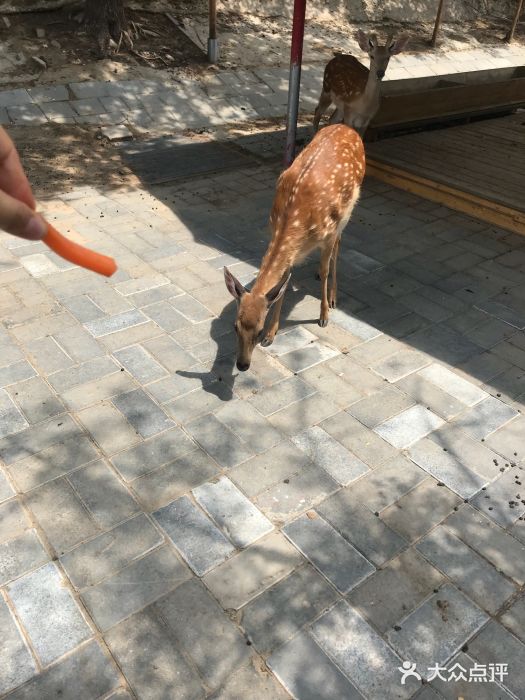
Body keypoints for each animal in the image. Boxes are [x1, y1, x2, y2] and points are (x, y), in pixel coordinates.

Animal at [224, 123, 365, 372]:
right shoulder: (288, 250)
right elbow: (283, 284)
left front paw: (324, 315)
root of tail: (347, 127)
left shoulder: (328, 233)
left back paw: (333, 297)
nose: (242, 365)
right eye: (235, 326)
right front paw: (272, 335)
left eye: (257, 330)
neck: (293, 221)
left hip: (347, 210)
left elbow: (326, 267)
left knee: (338, 247)